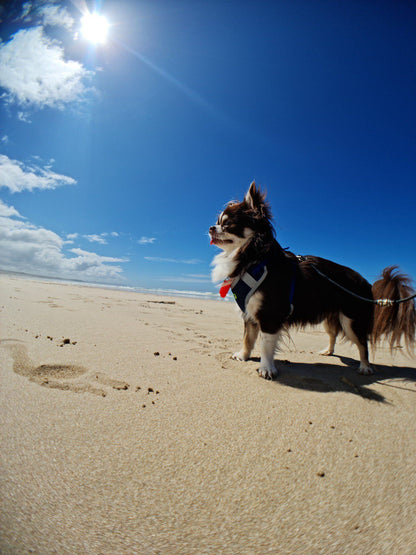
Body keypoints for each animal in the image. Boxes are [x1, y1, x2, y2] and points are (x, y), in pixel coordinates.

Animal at [211, 181, 416, 378]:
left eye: (228, 224)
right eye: (218, 222)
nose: (211, 227)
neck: (253, 257)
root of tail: (368, 284)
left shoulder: (270, 315)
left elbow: (265, 345)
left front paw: (266, 368)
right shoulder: (250, 313)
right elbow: (248, 338)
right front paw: (243, 356)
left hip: (351, 321)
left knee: (362, 344)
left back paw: (365, 367)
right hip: (331, 317)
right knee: (333, 334)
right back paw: (328, 351)